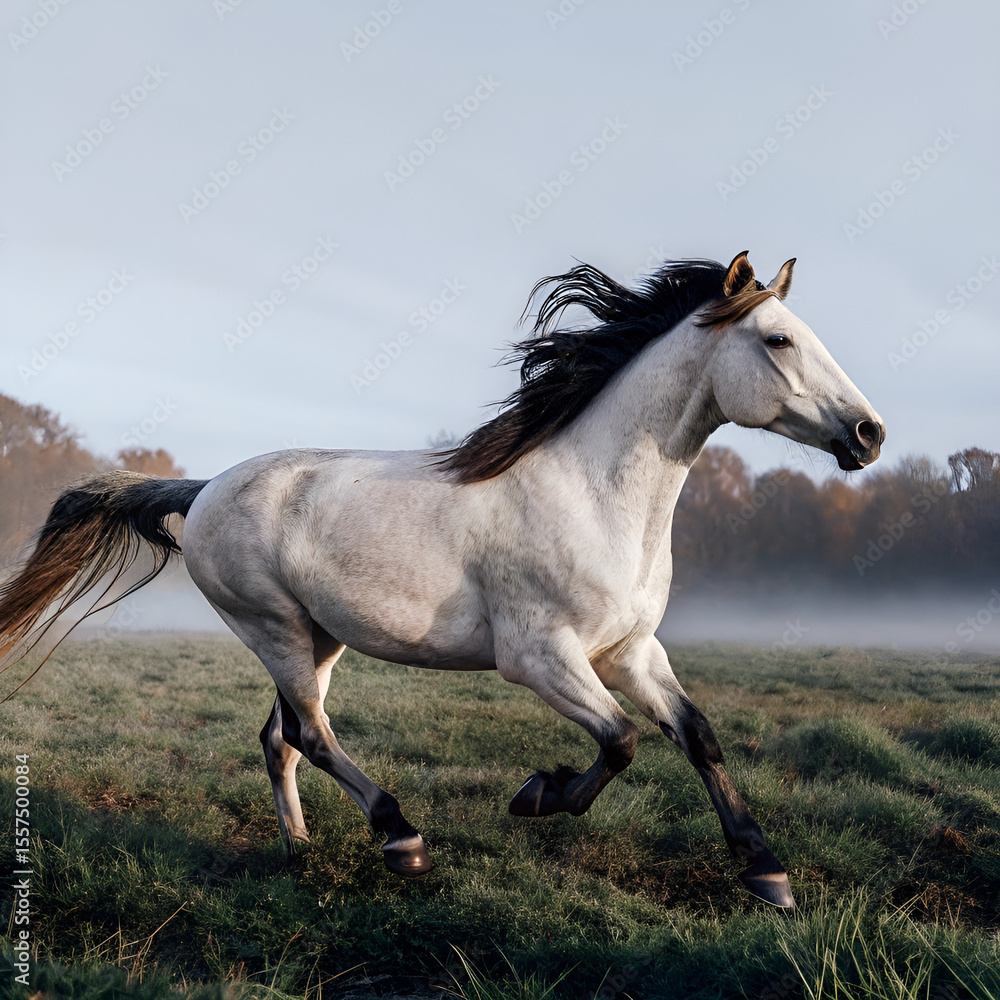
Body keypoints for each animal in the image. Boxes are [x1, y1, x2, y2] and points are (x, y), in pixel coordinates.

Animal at [0, 251, 884, 909]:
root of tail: (205, 485)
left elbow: (696, 734)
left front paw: (767, 874)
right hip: (272, 629)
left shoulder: (631, 650)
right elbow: (622, 741)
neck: (593, 494)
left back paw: (300, 850)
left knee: (280, 739)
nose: (870, 433)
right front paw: (536, 795)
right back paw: (402, 839)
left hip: (318, 638)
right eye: (778, 340)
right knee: (312, 735)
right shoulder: (541, 659)